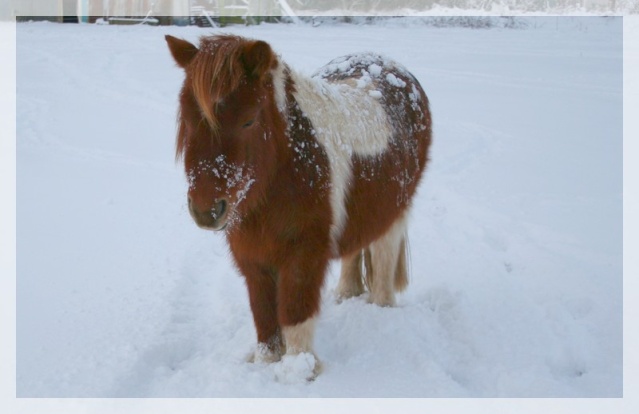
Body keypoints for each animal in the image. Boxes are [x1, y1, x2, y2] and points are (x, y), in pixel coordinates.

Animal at [166, 34, 436, 378]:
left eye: (249, 120)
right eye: (186, 120)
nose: (206, 211)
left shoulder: (303, 256)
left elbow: (295, 314)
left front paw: (298, 371)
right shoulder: (252, 257)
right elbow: (265, 318)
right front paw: (266, 362)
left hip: (396, 213)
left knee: (384, 259)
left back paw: (382, 309)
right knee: (354, 252)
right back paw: (346, 294)